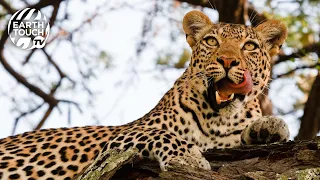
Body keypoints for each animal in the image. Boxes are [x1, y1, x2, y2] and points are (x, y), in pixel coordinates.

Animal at [0, 10, 290, 179]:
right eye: (211, 41)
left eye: (249, 46)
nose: (228, 61)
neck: (219, 119)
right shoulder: (116, 141)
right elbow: (159, 133)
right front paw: (189, 157)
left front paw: (268, 127)